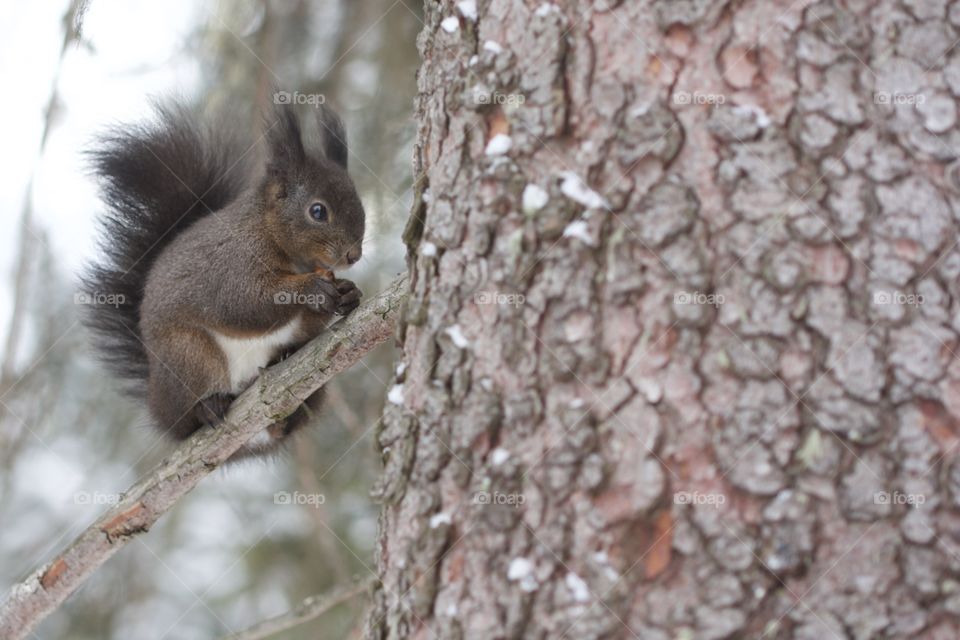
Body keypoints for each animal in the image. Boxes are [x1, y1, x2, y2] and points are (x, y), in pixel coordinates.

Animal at [82, 97, 366, 460]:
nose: (353, 255)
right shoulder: (230, 262)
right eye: (318, 211)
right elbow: (242, 304)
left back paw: (286, 382)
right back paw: (208, 408)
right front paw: (313, 290)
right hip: (189, 356)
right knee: (190, 416)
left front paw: (349, 292)